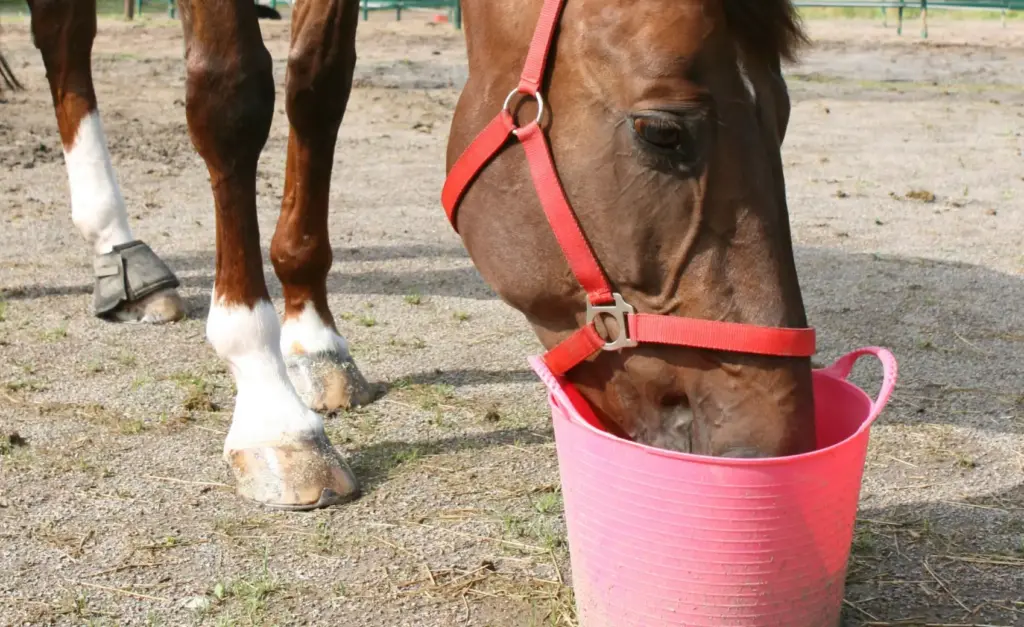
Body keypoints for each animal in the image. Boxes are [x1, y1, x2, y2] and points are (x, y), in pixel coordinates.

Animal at [24, 0, 816, 510]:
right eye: (662, 133)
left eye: (784, 116)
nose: (775, 445)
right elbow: (232, 95)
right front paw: (272, 407)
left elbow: (318, 83)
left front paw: (313, 337)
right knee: (64, 30)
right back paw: (117, 243)